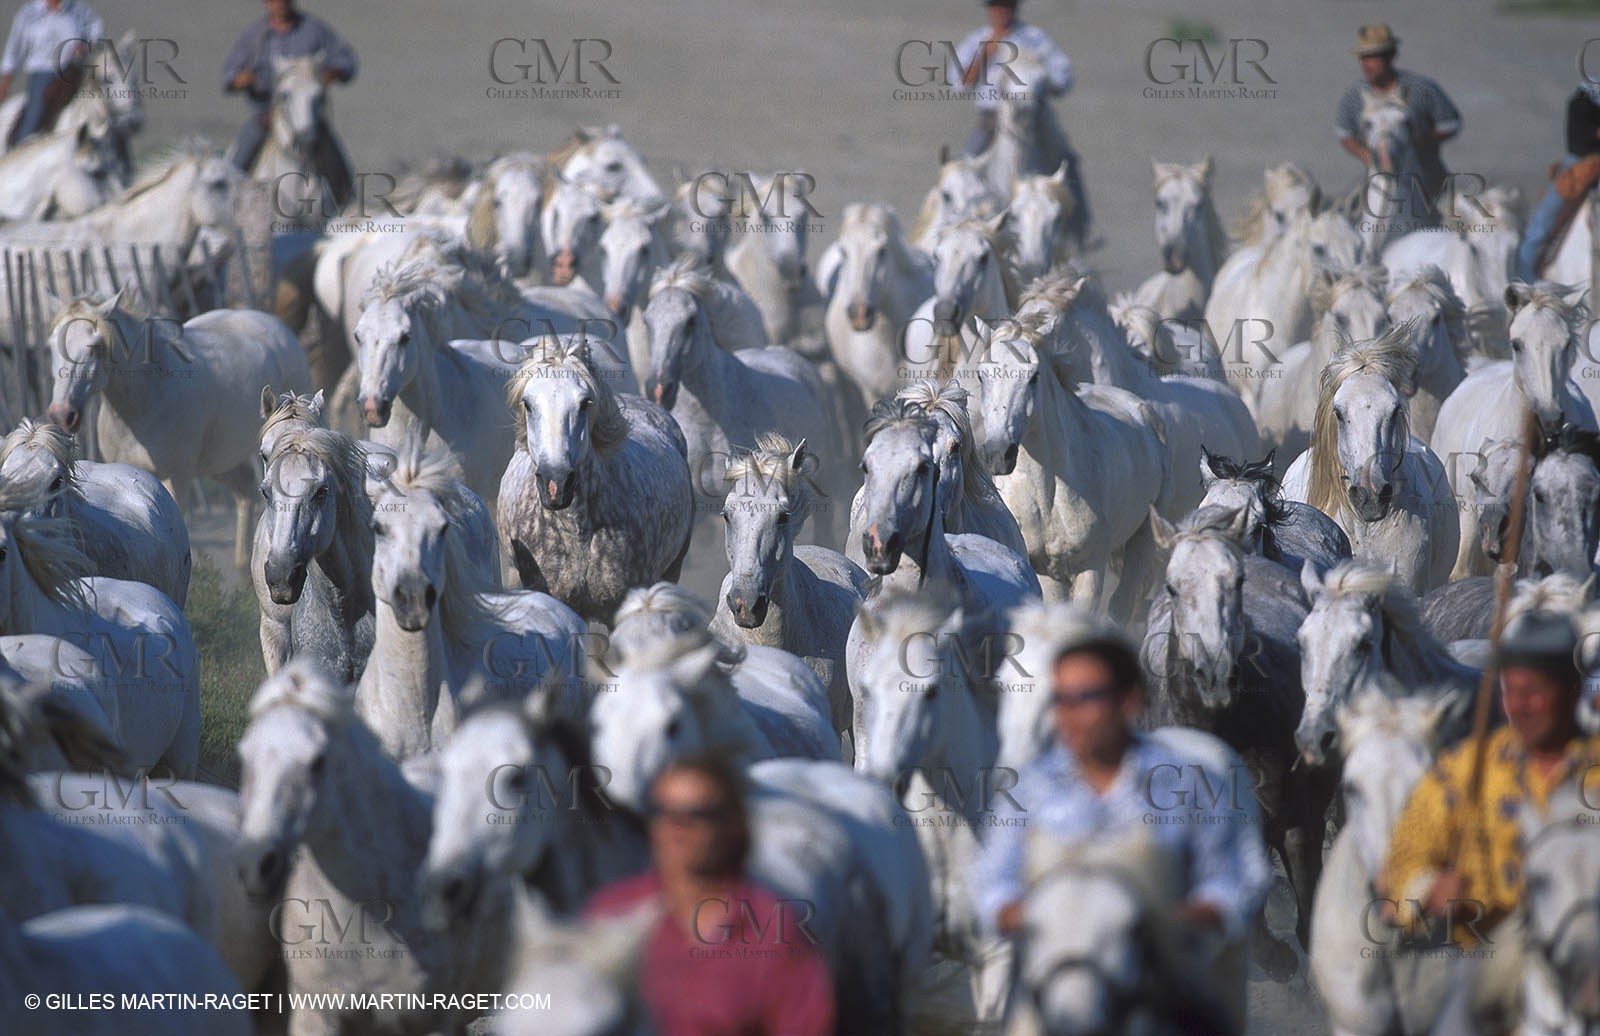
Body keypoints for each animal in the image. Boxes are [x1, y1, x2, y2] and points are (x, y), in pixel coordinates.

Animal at [45, 291, 311, 570]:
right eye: (51, 347)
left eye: (95, 347)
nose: (63, 414)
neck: (146, 397)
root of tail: (278, 328)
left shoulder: (178, 478)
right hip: (219, 462)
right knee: (245, 491)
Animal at [959, 318, 1166, 610]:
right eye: (981, 376)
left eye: (1033, 376)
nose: (999, 453)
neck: (1048, 498)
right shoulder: (1045, 571)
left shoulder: (1091, 567)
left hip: (1143, 536)